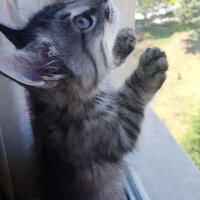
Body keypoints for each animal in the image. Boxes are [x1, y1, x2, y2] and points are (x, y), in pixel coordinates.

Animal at [0, 0, 169, 200]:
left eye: (63, 2)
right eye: (83, 22)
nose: (103, 0)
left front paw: (120, 42)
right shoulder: (116, 133)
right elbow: (133, 94)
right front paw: (148, 70)